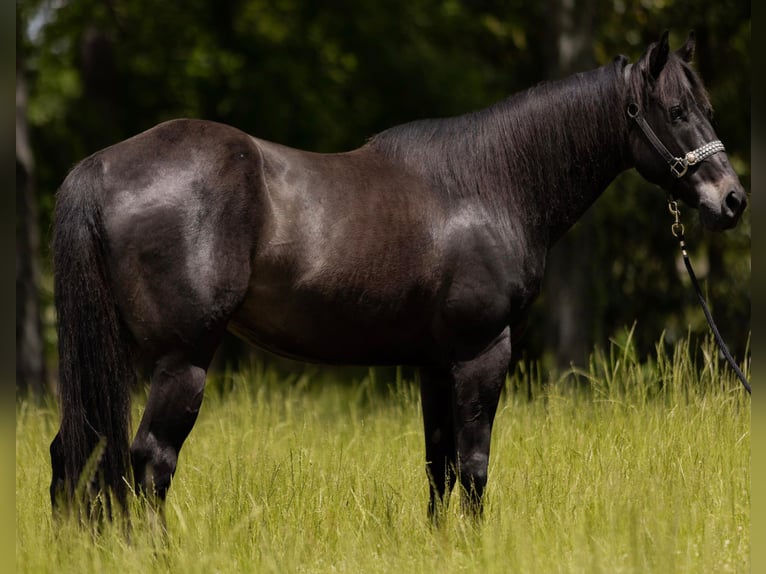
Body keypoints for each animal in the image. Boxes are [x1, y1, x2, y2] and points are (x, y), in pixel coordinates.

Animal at [51, 32, 748, 520]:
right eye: (676, 110)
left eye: (708, 107)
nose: (733, 200)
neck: (490, 183)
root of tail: (100, 168)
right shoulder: (481, 351)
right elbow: (473, 465)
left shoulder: (434, 362)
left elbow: (440, 468)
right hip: (183, 358)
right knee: (149, 461)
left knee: (75, 453)